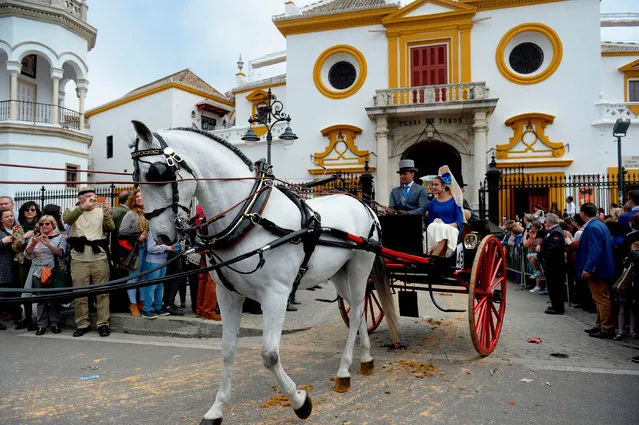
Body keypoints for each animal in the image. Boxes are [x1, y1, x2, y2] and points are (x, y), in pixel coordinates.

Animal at [130, 121, 400, 422]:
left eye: (157, 173)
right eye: (135, 177)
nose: (162, 237)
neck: (249, 216)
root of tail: (363, 204)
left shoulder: (276, 295)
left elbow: (269, 355)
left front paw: (299, 401)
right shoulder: (228, 295)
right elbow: (227, 349)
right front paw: (217, 408)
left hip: (360, 266)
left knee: (355, 314)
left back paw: (344, 370)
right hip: (338, 273)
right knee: (359, 309)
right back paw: (365, 359)